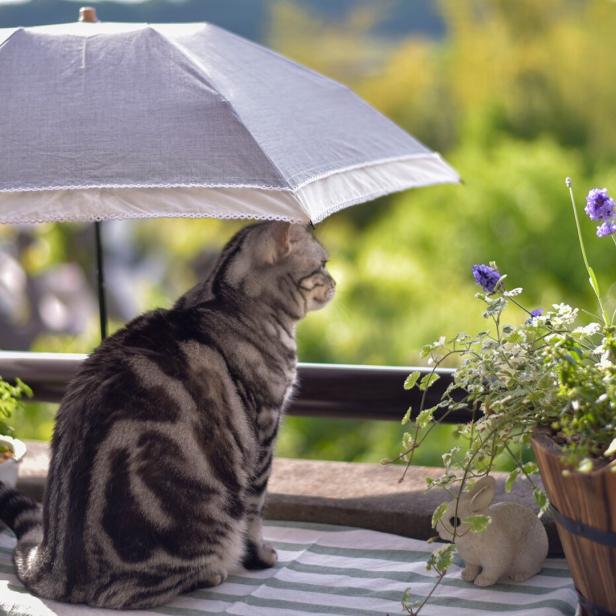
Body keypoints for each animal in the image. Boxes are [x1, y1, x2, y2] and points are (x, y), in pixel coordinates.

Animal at [0, 220, 334, 608]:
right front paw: (260, 557)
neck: (226, 298)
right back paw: (211, 573)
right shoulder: (266, 427)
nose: (335, 281)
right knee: (136, 591)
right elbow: (256, 513)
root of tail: (53, 566)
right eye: (323, 264)